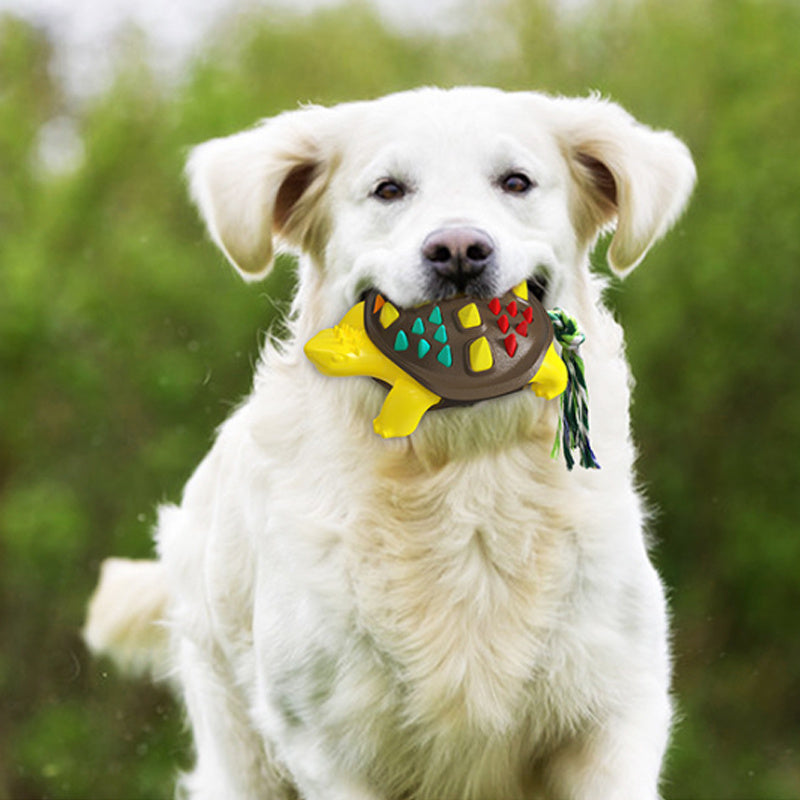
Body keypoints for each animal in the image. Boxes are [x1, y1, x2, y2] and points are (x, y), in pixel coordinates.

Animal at [86, 87, 692, 800]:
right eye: (388, 190)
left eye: (516, 182)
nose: (458, 249)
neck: (462, 472)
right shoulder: (330, 745)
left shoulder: (612, 713)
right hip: (241, 750)